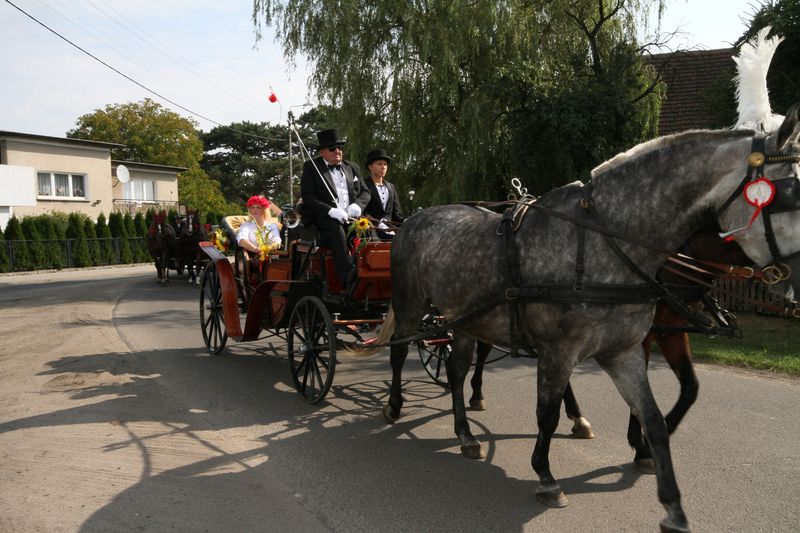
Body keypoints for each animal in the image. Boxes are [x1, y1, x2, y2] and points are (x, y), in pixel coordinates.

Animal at [382, 105, 800, 532]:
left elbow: (654, 419)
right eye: (793, 193)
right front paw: (547, 477)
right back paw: (396, 406)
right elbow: (546, 414)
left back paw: (466, 434)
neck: (605, 244)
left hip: (465, 320)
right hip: (412, 307)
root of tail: (413, 219)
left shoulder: (624, 352)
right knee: (398, 353)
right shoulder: (559, 350)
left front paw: (670, 501)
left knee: (456, 369)